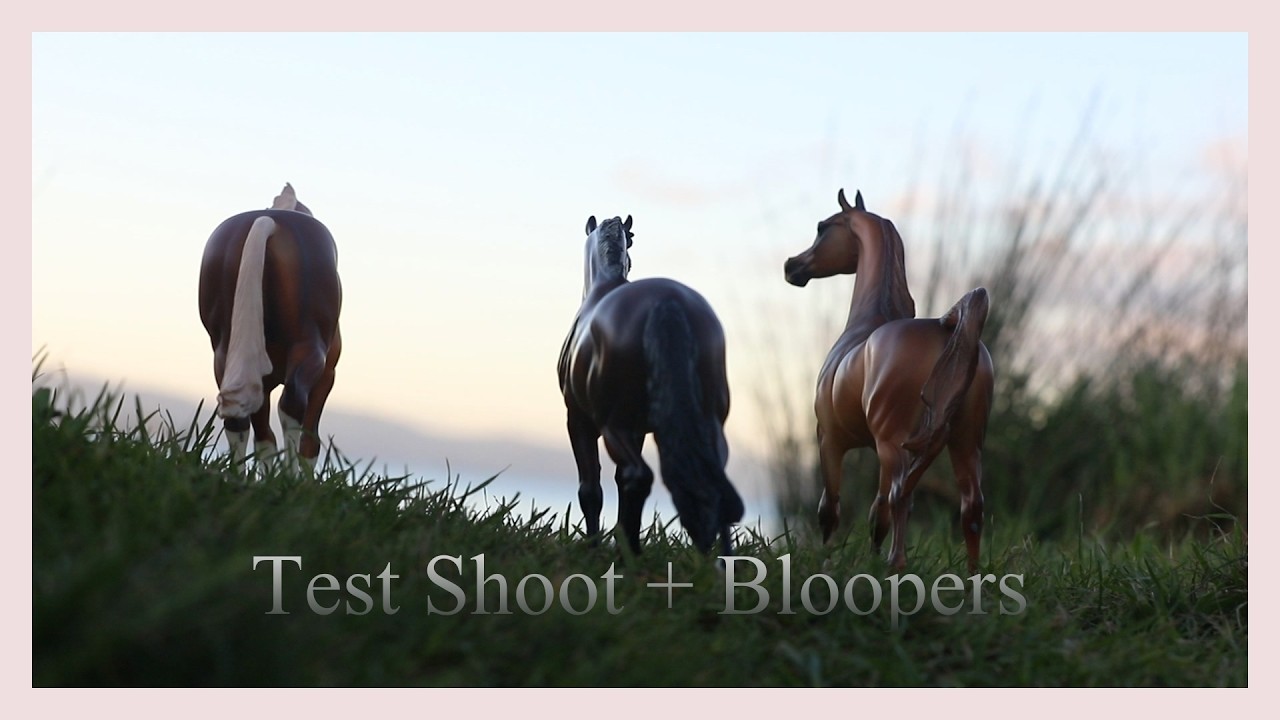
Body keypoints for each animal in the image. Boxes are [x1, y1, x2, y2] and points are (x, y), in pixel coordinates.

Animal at [198, 183, 342, 473]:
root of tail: (269, 221)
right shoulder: (327, 376)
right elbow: (310, 443)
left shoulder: (261, 383)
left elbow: (265, 440)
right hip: (308, 351)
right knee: (292, 405)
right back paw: (289, 477)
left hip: (224, 355)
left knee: (238, 421)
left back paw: (239, 479)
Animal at [558, 215, 744, 556]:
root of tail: (669, 303)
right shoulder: (640, 431)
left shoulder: (579, 421)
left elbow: (591, 489)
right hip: (709, 426)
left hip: (613, 424)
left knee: (638, 477)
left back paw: (631, 554)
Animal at [783, 189, 993, 572]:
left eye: (822, 227)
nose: (792, 266)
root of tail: (947, 328)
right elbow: (875, 513)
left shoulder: (830, 438)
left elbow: (830, 508)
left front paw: (826, 560)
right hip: (966, 442)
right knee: (971, 506)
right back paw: (972, 577)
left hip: (895, 444)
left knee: (901, 496)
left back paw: (897, 564)